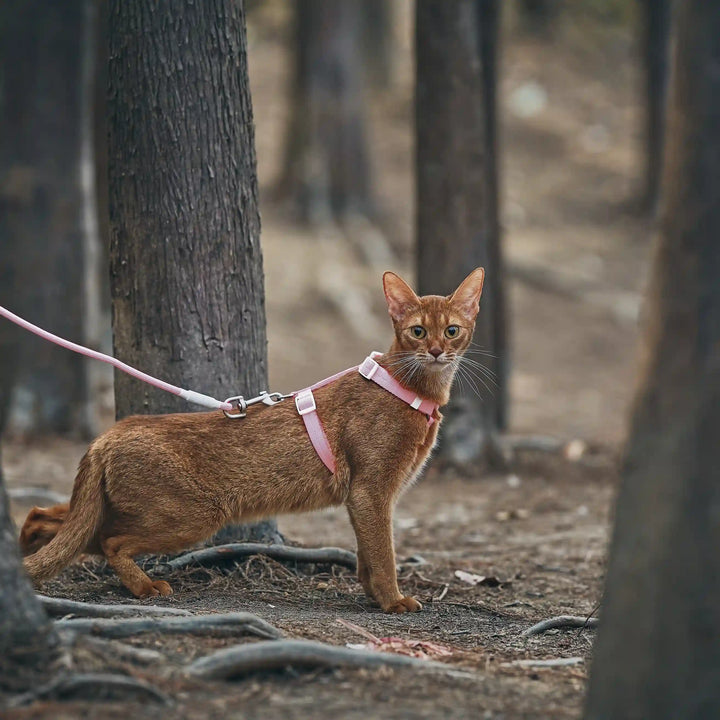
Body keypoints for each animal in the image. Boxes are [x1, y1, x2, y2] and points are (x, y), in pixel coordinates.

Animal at [21, 270, 484, 612]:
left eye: (453, 331)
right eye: (418, 331)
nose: (438, 351)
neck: (409, 389)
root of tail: (106, 435)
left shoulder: (362, 497)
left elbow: (366, 556)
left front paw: (372, 596)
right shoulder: (371, 490)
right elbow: (383, 553)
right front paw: (393, 601)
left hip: (124, 508)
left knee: (55, 520)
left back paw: (25, 544)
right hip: (191, 515)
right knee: (108, 542)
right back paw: (146, 587)